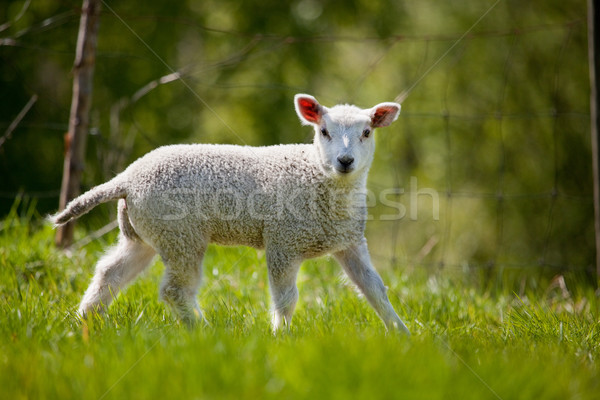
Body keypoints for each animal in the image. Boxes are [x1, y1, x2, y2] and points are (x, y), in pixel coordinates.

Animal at [51, 94, 410, 334]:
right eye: (323, 132)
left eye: (367, 133)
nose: (345, 161)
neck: (319, 178)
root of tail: (126, 178)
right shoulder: (283, 241)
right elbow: (286, 298)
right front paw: (282, 337)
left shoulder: (350, 242)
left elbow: (375, 289)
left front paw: (402, 335)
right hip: (181, 233)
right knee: (175, 290)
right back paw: (202, 331)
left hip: (144, 232)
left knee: (110, 272)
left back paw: (85, 321)